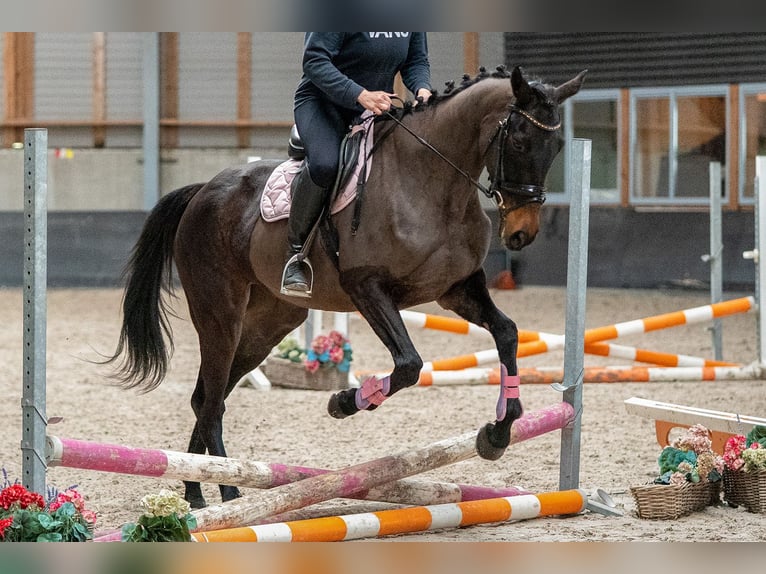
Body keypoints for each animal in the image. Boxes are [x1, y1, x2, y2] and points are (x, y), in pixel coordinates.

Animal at [107, 65, 586, 509]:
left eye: (558, 147)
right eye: (520, 142)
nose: (522, 233)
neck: (432, 183)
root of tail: (203, 190)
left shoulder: (457, 289)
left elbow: (507, 333)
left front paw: (498, 432)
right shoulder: (367, 287)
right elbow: (409, 364)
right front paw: (344, 400)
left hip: (268, 324)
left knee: (207, 396)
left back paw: (195, 489)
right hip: (219, 315)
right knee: (210, 403)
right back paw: (228, 491)